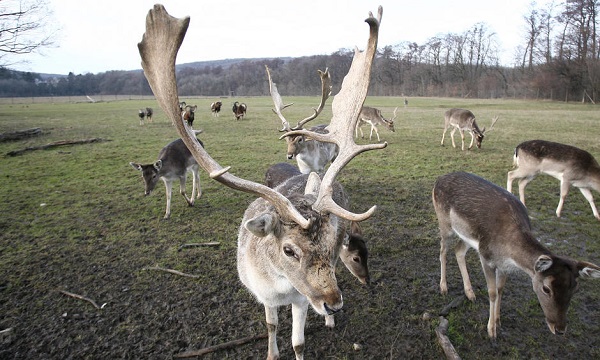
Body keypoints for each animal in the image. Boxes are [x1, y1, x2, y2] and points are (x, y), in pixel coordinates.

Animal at [137, 4, 384, 358]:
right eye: (289, 250)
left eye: (328, 240)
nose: (333, 303)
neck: (280, 287)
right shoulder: (263, 295)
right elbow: (270, 327)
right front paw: (271, 350)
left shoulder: (301, 297)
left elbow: (298, 341)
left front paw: (315, 329)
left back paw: (329, 321)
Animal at [434, 170, 596, 338]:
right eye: (546, 288)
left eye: (575, 288)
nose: (560, 329)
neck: (509, 252)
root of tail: (439, 178)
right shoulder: (486, 256)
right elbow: (492, 292)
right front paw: (491, 330)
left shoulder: (503, 264)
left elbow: (500, 289)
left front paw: (498, 321)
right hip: (444, 223)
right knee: (443, 251)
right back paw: (443, 287)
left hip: (468, 236)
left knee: (458, 250)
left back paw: (470, 293)